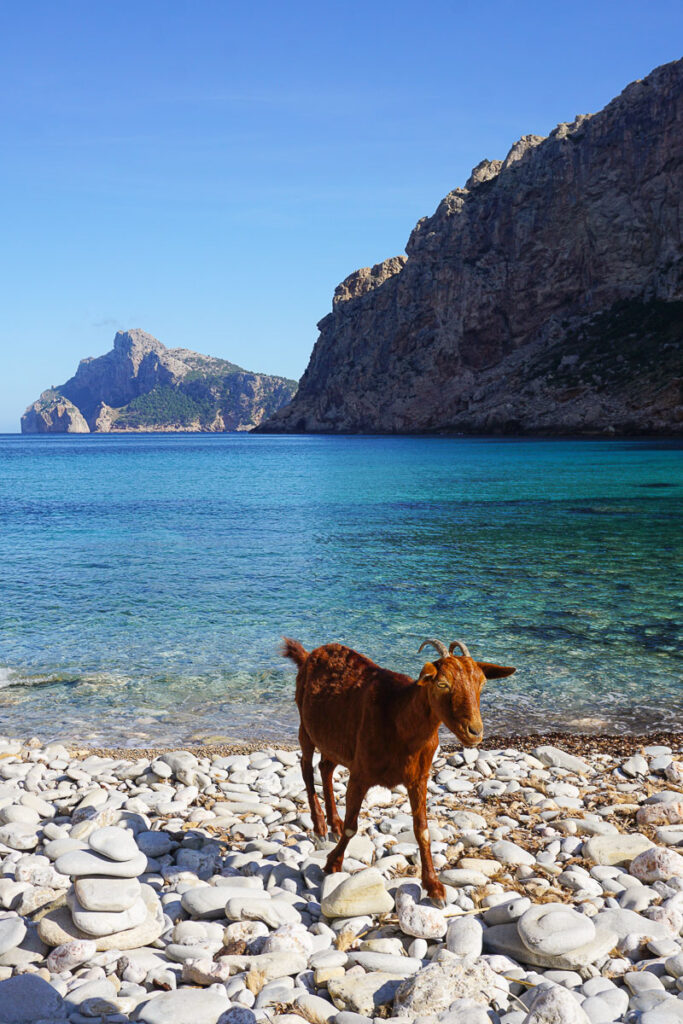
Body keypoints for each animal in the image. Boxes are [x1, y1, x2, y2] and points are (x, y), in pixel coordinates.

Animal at [282, 634, 511, 909]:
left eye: (482, 683)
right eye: (442, 684)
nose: (475, 732)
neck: (398, 718)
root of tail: (309, 655)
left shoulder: (418, 778)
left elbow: (422, 831)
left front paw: (434, 887)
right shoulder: (360, 773)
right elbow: (352, 826)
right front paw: (332, 863)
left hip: (336, 742)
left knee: (325, 768)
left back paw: (333, 823)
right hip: (305, 726)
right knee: (306, 769)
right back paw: (319, 827)